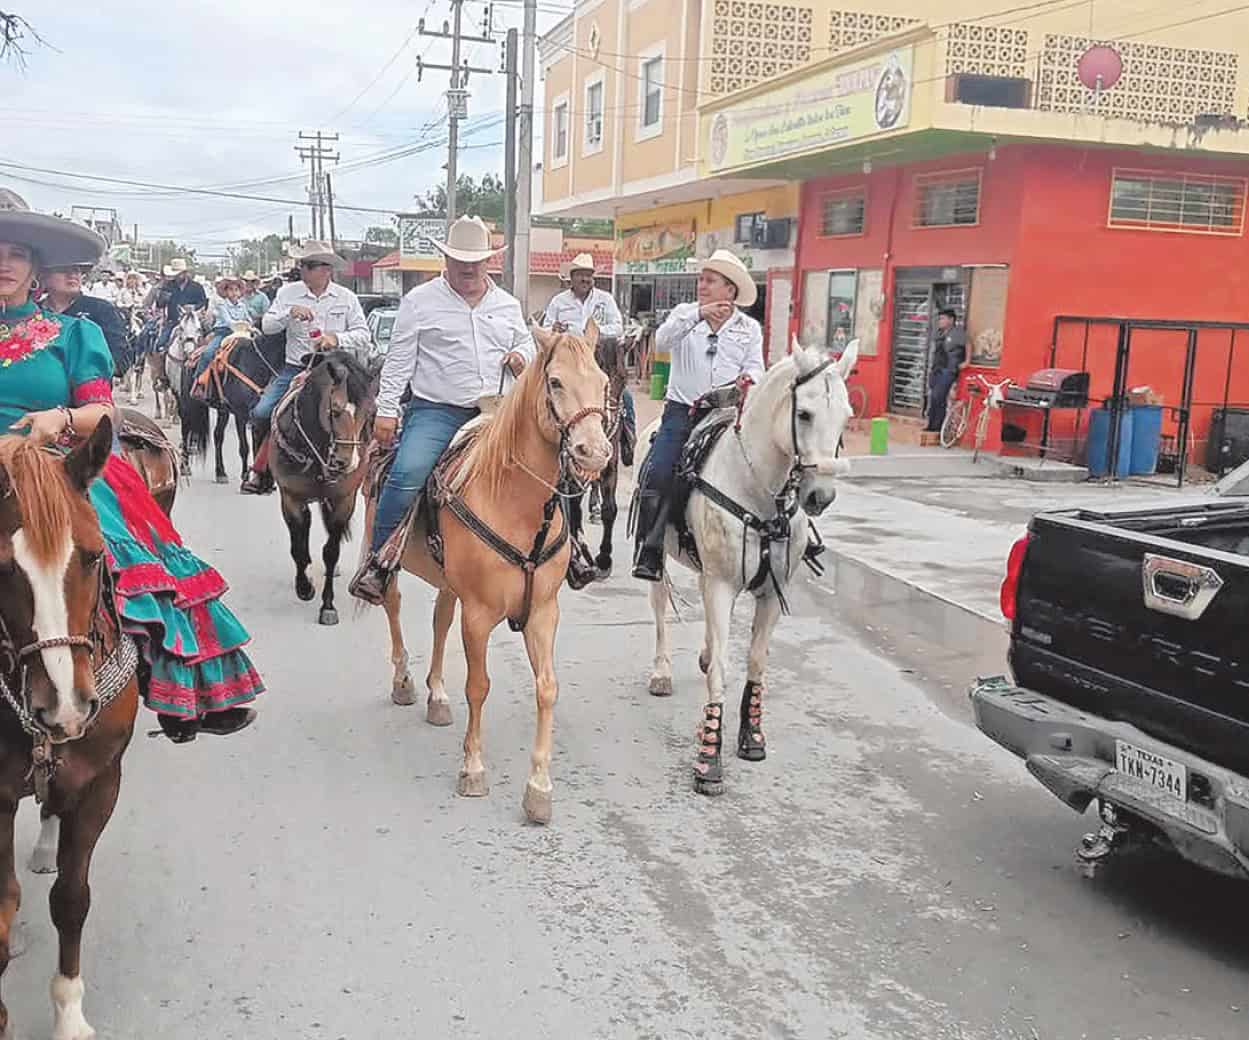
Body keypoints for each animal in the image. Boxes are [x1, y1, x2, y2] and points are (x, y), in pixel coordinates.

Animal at [181, 324, 283, 486]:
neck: (255, 364)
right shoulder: (241, 414)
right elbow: (245, 447)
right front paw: (245, 475)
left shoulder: (257, 414)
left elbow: (257, 444)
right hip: (187, 405)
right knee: (185, 431)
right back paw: (184, 466)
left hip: (223, 410)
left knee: (217, 435)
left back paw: (220, 472)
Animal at [269, 349, 374, 624]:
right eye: (335, 410)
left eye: (371, 412)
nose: (345, 462)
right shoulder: (291, 498)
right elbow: (297, 545)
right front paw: (304, 587)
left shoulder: (344, 500)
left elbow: (331, 551)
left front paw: (328, 606)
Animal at [364, 324, 609, 819]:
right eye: (555, 382)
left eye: (604, 382)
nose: (593, 453)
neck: (516, 505)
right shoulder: (478, 615)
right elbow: (478, 686)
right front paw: (473, 769)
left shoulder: (543, 612)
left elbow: (547, 687)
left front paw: (539, 788)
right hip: (388, 558)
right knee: (393, 605)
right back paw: (403, 680)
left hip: (449, 584)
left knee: (440, 620)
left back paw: (437, 695)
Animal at [644, 339, 859, 794]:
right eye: (804, 414)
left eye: (847, 416)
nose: (820, 496)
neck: (758, 491)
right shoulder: (722, 585)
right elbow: (722, 669)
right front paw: (709, 757)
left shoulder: (770, 591)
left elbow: (756, 662)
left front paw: (752, 735)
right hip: (662, 563)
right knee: (659, 610)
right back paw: (661, 672)